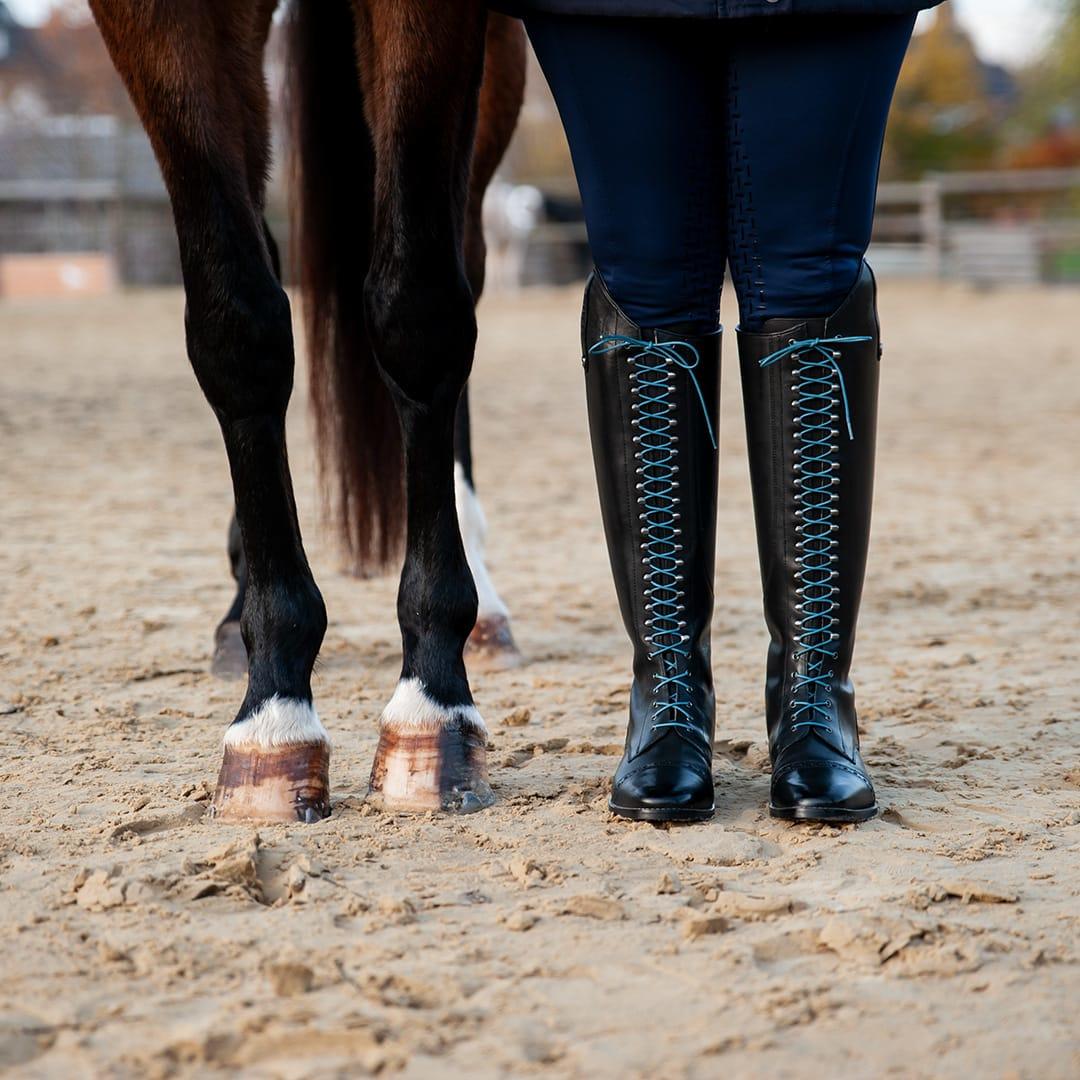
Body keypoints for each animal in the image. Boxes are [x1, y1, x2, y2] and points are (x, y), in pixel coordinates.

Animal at [90, 0, 529, 820]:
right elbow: (237, 323)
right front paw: (273, 712)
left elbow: (417, 307)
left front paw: (432, 704)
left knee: (463, 254)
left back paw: (482, 605)